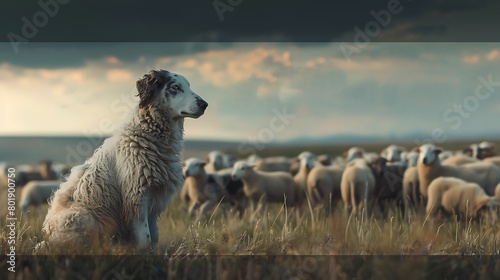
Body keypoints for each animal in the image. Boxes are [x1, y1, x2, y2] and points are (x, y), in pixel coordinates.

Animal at [41, 69, 207, 249]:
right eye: (176, 87)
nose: (205, 104)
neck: (148, 138)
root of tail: (46, 238)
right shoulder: (136, 199)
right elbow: (145, 238)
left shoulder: (154, 202)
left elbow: (154, 235)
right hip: (82, 217)